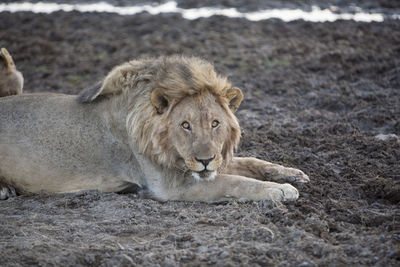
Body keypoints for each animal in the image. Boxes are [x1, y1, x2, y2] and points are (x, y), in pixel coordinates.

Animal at [0, 56, 310, 201]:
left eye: (215, 123)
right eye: (185, 125)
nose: (205, 160)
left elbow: (251, 163)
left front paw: (292, 174)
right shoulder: (173, 185)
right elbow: (236, 182)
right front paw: (281, 190)